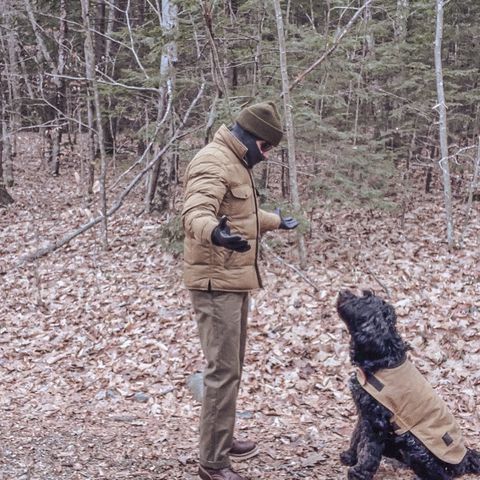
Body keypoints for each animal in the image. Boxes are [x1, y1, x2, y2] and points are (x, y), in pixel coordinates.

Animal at [338, 288, 480, 480]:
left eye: (362, 300)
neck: (384, 359)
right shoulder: (365, 414)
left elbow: (368, 450)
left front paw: (358, 473)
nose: (343, 291)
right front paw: (350, 457)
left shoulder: (377, 423)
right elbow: (356, 437)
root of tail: (464, 460)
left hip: (416, 445)